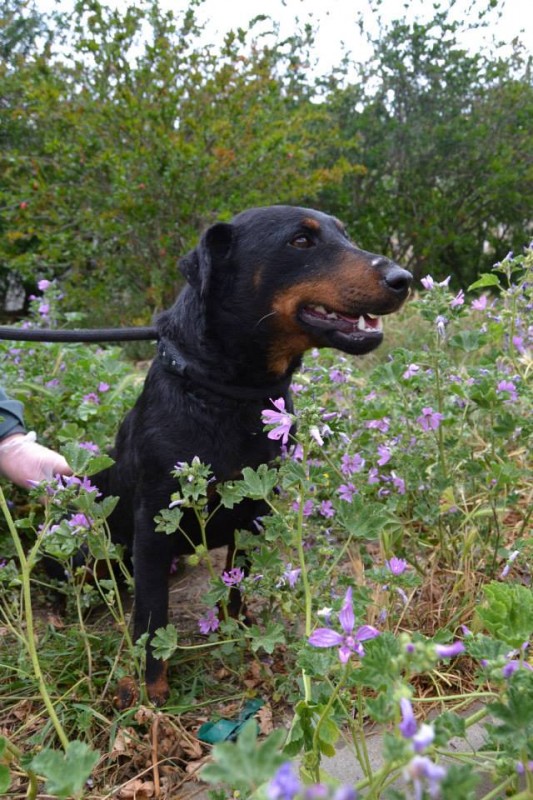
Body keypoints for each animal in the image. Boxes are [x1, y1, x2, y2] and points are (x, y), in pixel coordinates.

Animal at [92, 205, 412, 708]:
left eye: (345, 234)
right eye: (300, 241)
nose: (405, 279)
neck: (229, 395)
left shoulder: (255, 511)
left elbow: (237, 582)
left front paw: (240, 631)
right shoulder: (154, 524)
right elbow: (152, 614)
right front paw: (152, 690)